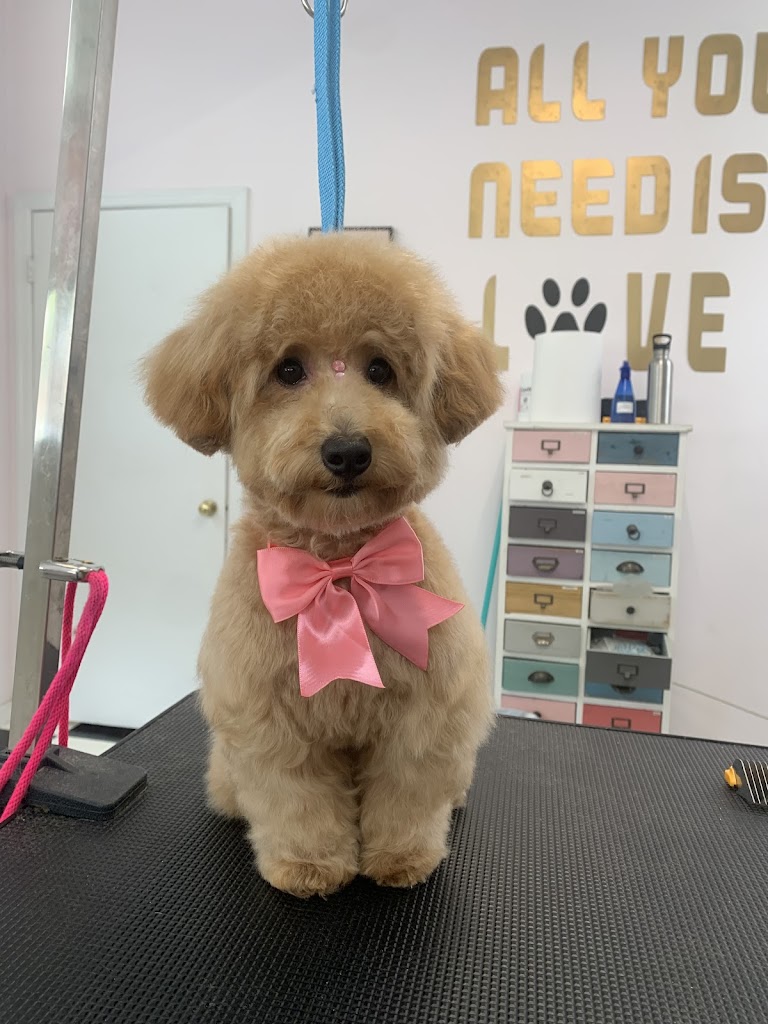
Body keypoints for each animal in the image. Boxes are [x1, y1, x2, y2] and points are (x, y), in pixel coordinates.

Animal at [142, 232, 503, 897]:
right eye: (288, 369)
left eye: (380, 369)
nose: (348, 450)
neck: (339, 566)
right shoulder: (269, 717)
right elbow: (296, 798)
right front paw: (308, 866)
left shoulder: (424, 713)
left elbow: (408, 789)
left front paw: (402, 857)